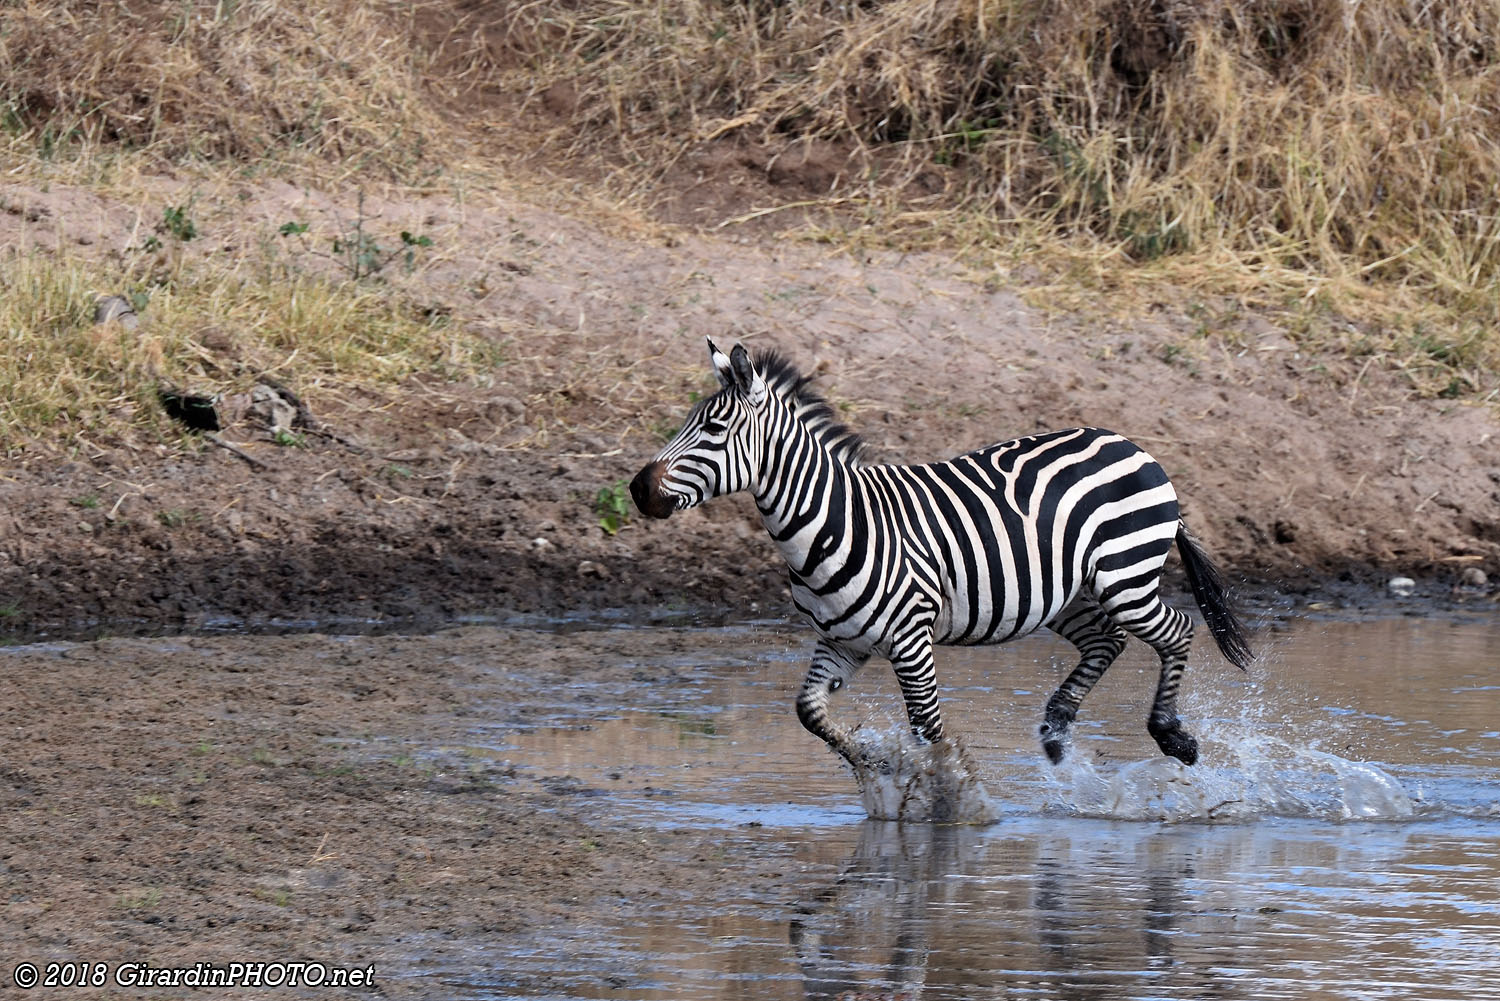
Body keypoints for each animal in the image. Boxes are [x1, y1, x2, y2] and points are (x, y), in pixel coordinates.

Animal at [631, 340, 1253, 768]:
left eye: (714, 429)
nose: (638, 490)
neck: (829, 523)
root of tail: (1133, 445)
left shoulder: (912, 638)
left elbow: (927, 727)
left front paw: (947, 801)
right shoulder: (843, 640)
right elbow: (809, 712)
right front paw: (873, 764)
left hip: (1125, 576)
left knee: (1176, 631)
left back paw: (1171, 734)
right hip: (1065, 594)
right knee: (1108, 641)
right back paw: (1056, 730)